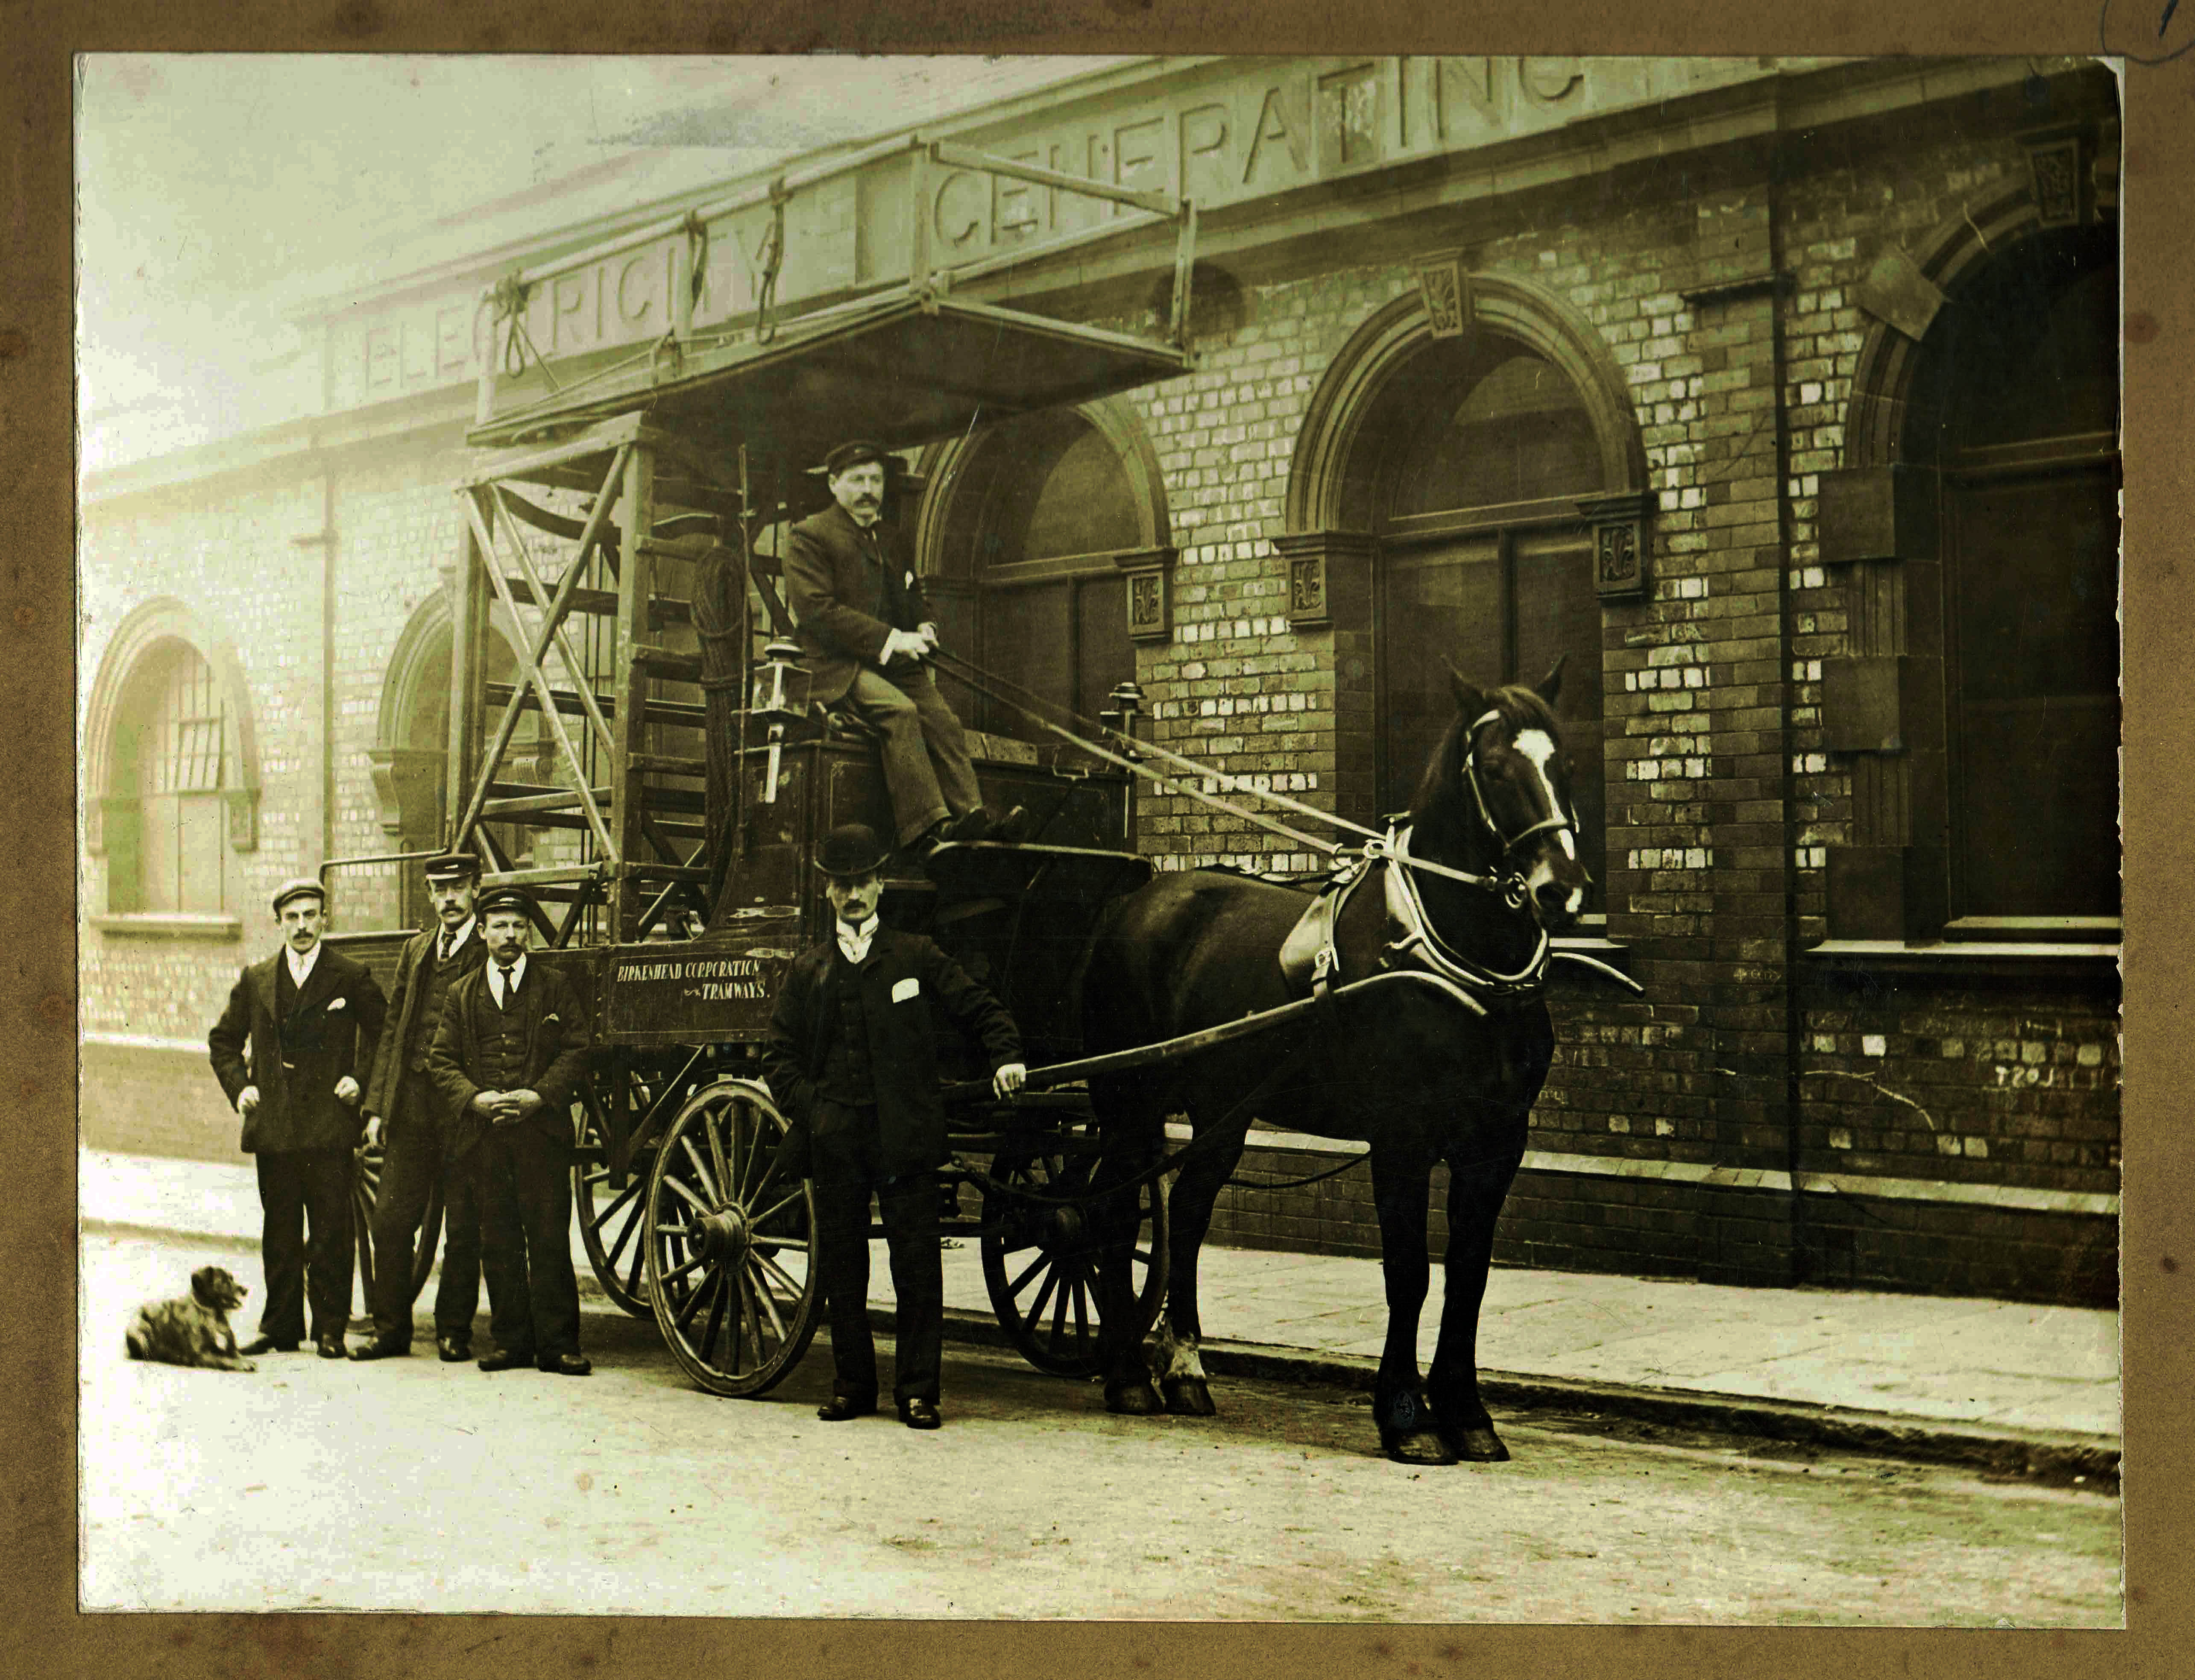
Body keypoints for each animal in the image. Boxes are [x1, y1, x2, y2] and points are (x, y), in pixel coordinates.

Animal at [126, 1265, 257, 1370]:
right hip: (140, 1331)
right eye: (224, 1282)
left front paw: (243, 1360)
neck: (214, 1315)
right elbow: (224, 1359)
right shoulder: (201, 1354)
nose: (245, 1291)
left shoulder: (225, 1348)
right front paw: (243, 1364)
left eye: (232, 1279)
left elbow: (235, 1354)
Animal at [1084, 663, 1589, 1458]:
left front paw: (1468, 1415)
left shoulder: (1495, 1143)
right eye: (1494, 766)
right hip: (1129, 1099)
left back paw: (1186, 1370)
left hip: (1220, 1112)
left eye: (1562, 762)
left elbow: (1467, 1276)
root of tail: (1138, 899)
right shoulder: (1401, 1138)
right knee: (1108, 1210)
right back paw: (1128, 1375)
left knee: (1188, 1213)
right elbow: (1409, 1273)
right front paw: (1405, 1416)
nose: (1558, 888)